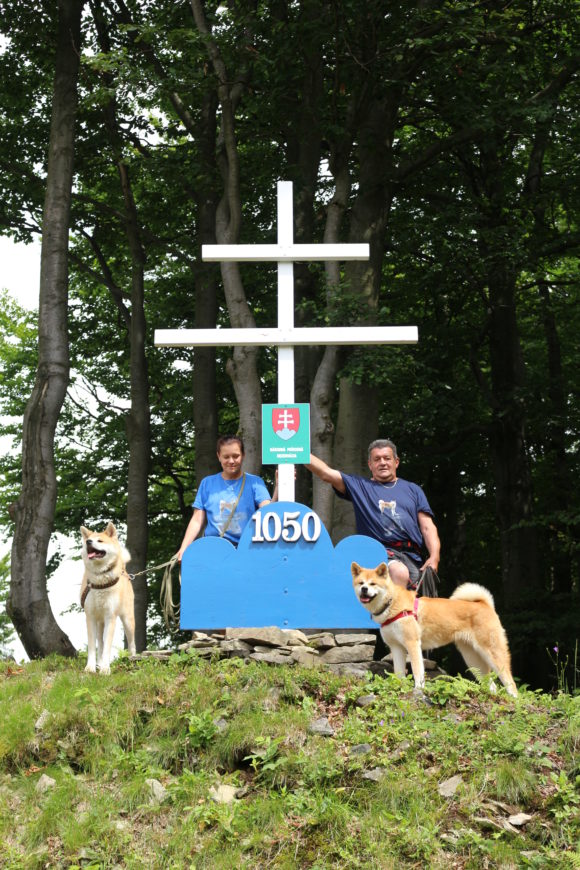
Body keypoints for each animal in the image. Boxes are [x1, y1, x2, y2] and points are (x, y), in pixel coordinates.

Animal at [81, 524, 137, 676]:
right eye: (88, 540)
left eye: (99, 541)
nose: (88, 542)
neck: (100, 582)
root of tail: (124, 570)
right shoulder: (90, 617)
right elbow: (93, 646)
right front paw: (91, 667)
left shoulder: (110, 617)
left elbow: (107, 646)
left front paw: (105, 669)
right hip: (100, 622)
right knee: (100, 642)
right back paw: (99, 663)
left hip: (128, 620)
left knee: (131, 643)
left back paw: (133, 658)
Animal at [352, 564, 520, 700]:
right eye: (361, 583)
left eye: (373, 583)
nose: (364, 589)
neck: (391, 603)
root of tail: (485, 604)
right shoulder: (396, 647)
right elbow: (399, 672)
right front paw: (398, 687)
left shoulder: (413, 644)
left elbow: (417, 671)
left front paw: (418, 690)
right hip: (472, 658)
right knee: (492, 684)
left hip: (492, 653)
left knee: (510, 682)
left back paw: (515, 700)